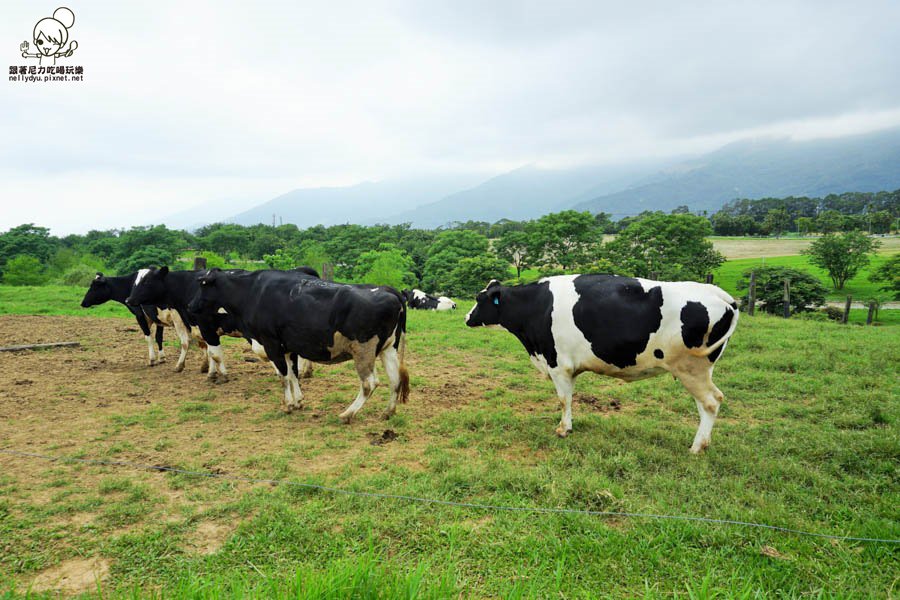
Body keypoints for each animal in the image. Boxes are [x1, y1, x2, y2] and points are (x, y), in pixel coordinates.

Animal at [193, 270, 412, 420]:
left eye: (203, 284)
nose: (190, 305)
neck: (253, 292)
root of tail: (388, 290)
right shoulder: (288, 347)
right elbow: (293, 374)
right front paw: (298, 401)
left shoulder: (271, 343)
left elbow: (284, 376)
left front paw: (288, 405)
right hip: (388, 349)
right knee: (395, 379)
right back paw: (388, 412)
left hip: (363, 350)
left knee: (370, 383)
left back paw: (348, 414)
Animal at [464, 274, 740, 452]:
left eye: (480, 299)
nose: (467, 317)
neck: (535, 306)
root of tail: (719, 294)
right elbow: (570, 398)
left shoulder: (558, 365)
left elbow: (563, 399)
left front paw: (563, 429)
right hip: (696, 371)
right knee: (706, 405)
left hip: (692, 369)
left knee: (711, 402)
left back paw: (696, 447)